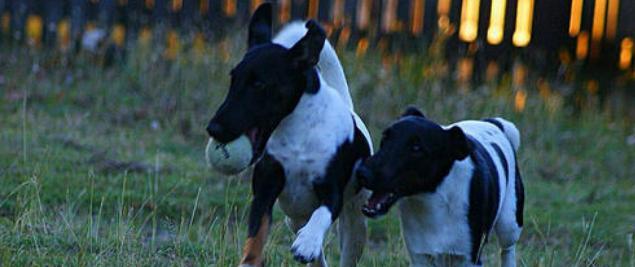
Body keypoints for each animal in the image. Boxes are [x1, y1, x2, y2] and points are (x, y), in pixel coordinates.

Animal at [206, 3, 372, 267]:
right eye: (233, 79)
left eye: (259, 84)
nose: (214, 128)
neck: (298, 135)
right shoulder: (266, 187)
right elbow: (256, 232)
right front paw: (249, 261)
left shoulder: (332, 191)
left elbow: (322, 213)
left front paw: (308, 242)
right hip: (293, 219)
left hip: (355, 222)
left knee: (348, 248)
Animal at [356, 107, 524, 267]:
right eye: (385, 138)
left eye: (416, 148)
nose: (362, 173)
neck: (433, 200)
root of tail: (493, 123)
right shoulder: (420, 257)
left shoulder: (469, 258)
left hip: (509, 223)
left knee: (507, 249)